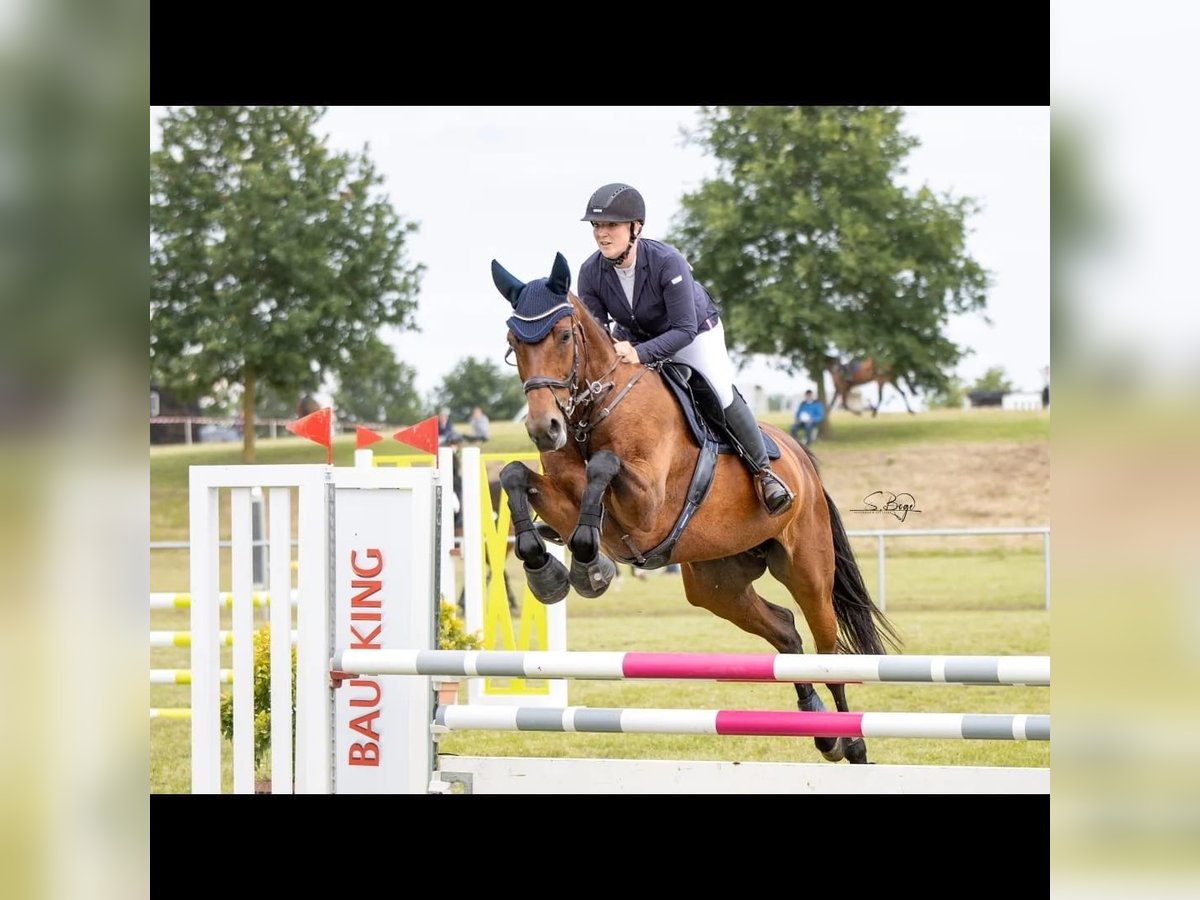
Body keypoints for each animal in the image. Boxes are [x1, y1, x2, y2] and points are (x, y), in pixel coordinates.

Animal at [489, 254, 902, 768]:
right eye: (513, 345)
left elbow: (603, 467)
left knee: (828, 650)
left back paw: (852, 742)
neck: (594, 413)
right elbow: (514, 474)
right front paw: (547, 571)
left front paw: (589, 568)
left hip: (807, 568)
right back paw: (819, 729)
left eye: (564, 336)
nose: (544, 429)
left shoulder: (646, 508)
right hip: (716, 584)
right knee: (786, 632)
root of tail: (804, 461)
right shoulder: (566, 498)